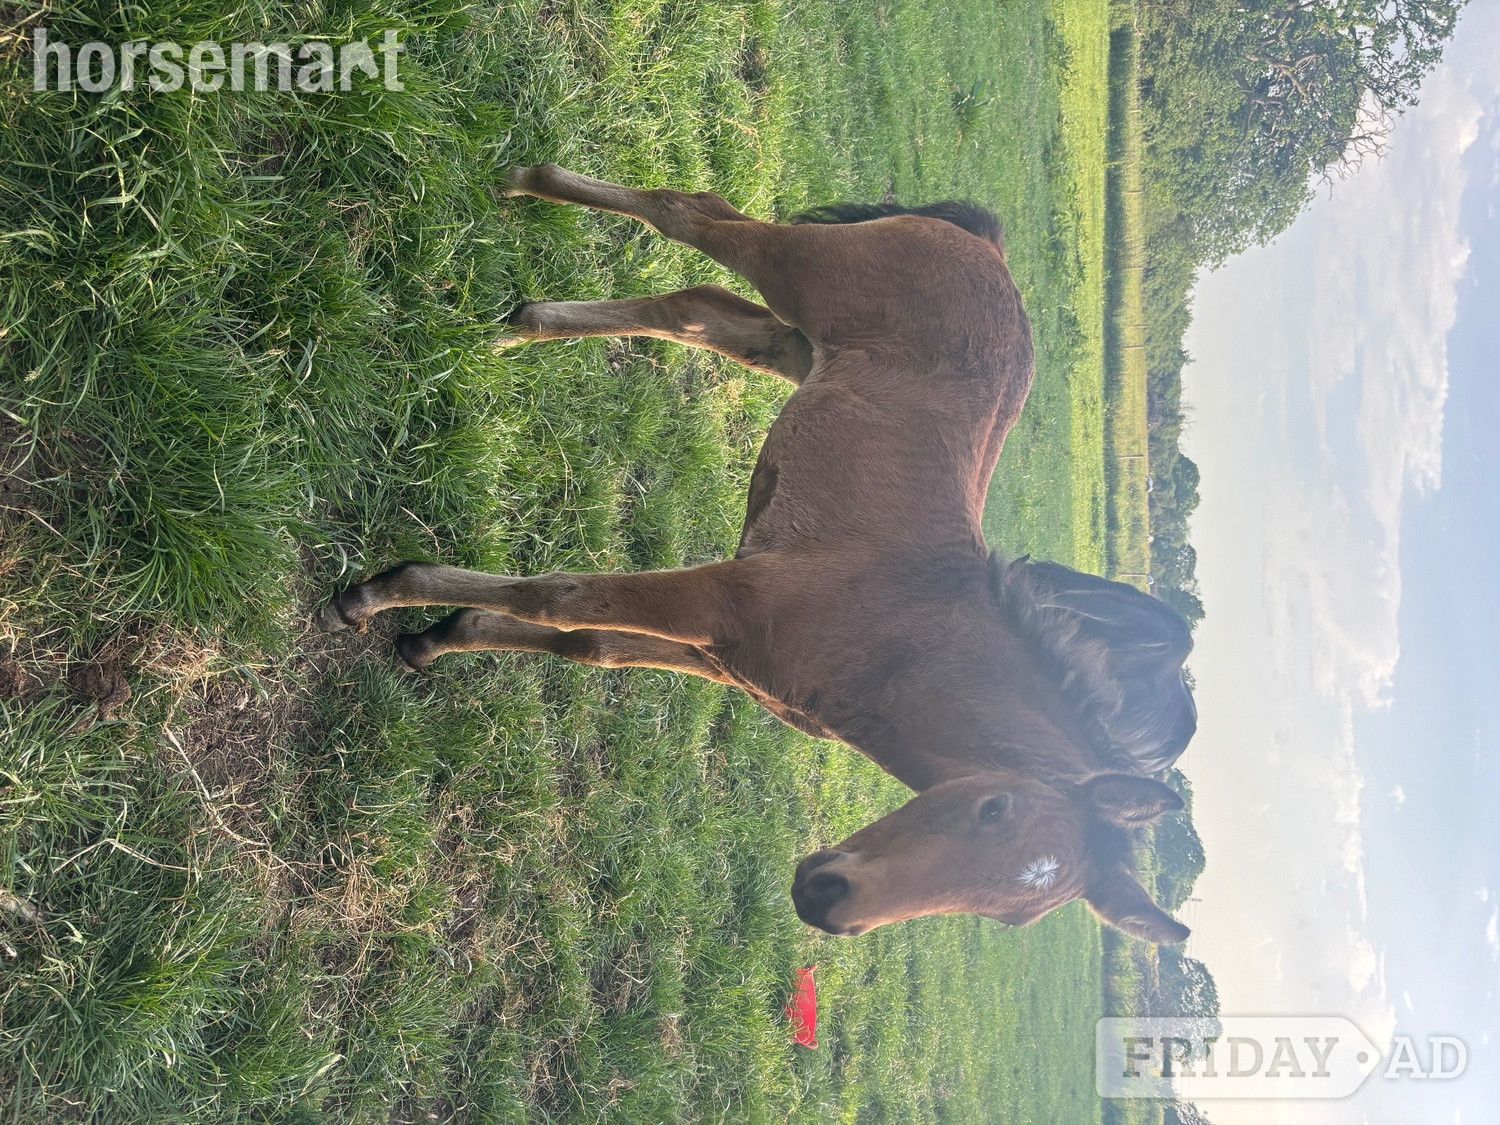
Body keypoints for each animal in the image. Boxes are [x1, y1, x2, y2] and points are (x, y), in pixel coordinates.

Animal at [318, 163, 1197, 943]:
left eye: (1009, 915)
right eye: (994, 808)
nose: (826, 900)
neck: (903, 641)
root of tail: (991, 249)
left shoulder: (728, 654)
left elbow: (588, 643)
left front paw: (438, 636)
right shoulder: (727, 598)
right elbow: (560, 597)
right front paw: (379, 594)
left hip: (796, 346)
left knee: (697, 310)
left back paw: (519, 324)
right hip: (801, 273)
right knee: (694, 215)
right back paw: (525, 187)